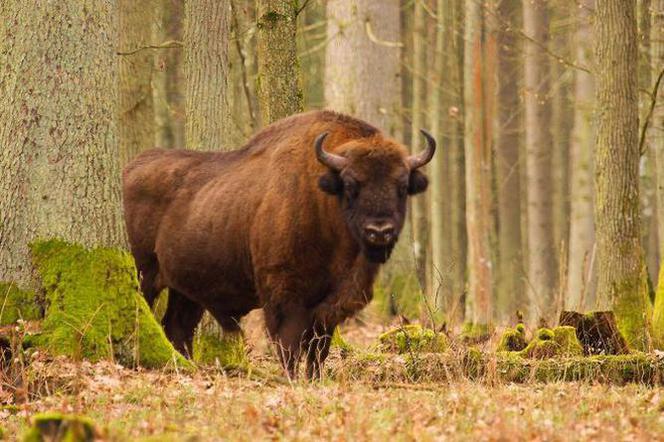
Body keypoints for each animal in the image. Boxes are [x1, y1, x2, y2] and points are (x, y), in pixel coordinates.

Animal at [124, 109, 436, 376]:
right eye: (350, 184)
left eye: (402, 186)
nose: (379, 230)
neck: (324, 202)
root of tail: (127, 172)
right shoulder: (284, 296)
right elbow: (289, 346)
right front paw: (291, 379)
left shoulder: (328, 307)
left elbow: (318, 350)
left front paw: (315, 379)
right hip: (144, 274)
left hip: (186, 290)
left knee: (177, 328)